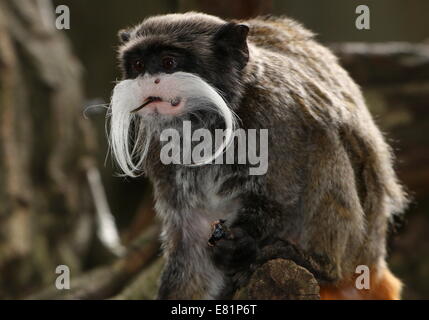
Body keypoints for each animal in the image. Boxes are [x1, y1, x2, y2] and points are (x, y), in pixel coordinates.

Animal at [108, 11, 406, 298]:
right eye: (138, 66)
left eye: (169, 63)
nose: (148, 82)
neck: (205, 122)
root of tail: (374, 260)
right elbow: (190, 237)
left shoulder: (275, 111)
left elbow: (278, 199)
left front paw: (241, 244)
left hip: (359, 248)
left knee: (324, 139)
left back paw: (319, 266)